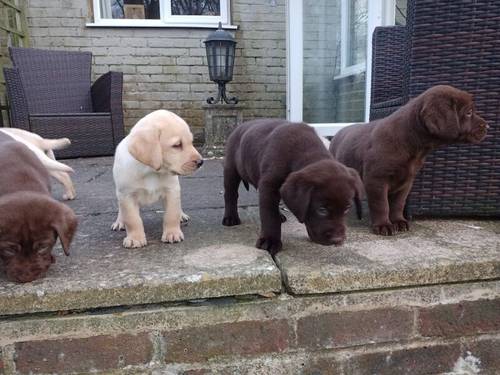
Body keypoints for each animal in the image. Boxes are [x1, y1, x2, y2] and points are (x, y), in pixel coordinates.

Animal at [111, 110, 203, 248]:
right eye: (177, 145)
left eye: (191, 142)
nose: (201, 162)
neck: (150, 171)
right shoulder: (127, 195)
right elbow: (132, 219)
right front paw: (135, 238)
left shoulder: (172, 190)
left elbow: (171, 214)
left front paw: (172, 233)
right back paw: (120, 221)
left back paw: (181, 215)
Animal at [224, 120, 364, 256]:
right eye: (322, 210)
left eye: (347, 209)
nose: (338, 240)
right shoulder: (268, 185)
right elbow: (269, 215)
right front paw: (270, 240)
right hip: (231, 168)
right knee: (230, 194)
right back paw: (230, 218)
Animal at [330, 86, 486, 236]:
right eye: (469, 113)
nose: (487, 126)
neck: (412, 143)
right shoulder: (376, 179)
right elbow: (382, 204)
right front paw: (383, 225)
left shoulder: (406, 181)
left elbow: (398, 203)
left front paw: (398, 221)